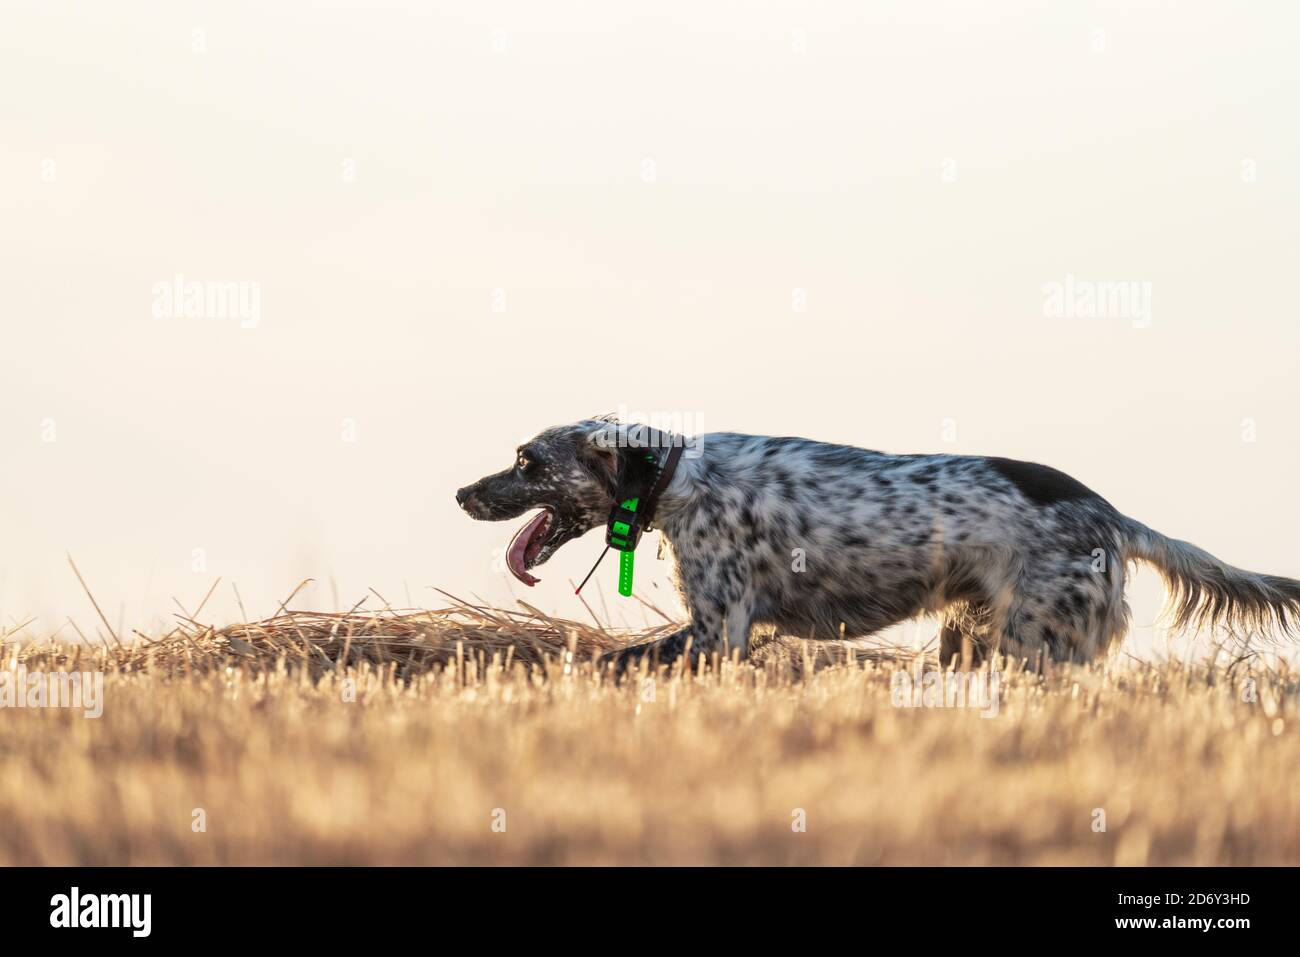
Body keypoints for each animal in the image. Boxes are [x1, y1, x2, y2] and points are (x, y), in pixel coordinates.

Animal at [457, 416, 1300, 670]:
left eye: (528, 462)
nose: (463, 493)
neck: (677, 479)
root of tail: (1113, 515)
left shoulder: (717, 629)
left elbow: (611, 659)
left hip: (1036, 640)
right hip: (974, 635)